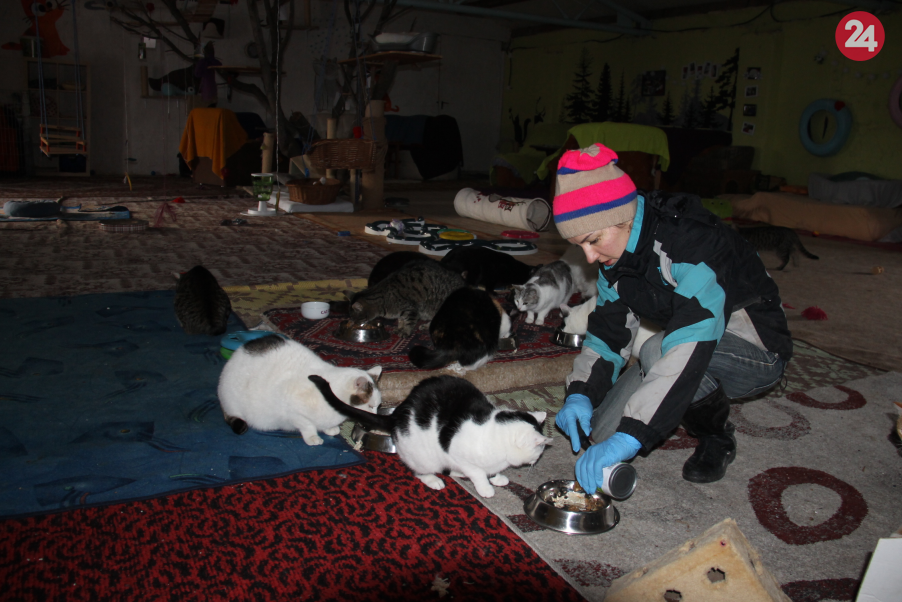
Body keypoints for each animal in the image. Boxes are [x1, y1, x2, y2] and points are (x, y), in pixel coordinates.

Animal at [217, 335, 383, 446]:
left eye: (377, 406)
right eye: (370, 406)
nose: (374, 417)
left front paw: (330, 428)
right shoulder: (292, 412)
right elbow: (307, 425)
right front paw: (312, 437)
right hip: (234, 402)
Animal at [308, 374, 553, 498]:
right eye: (539, 450)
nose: (538, 459)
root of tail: (397, 414)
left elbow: (489, 470)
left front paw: (497, 476)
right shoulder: (458, 452)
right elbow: (477, 472)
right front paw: (486, 488)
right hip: (424, 457)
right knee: (420, 471)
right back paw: (435, 480)